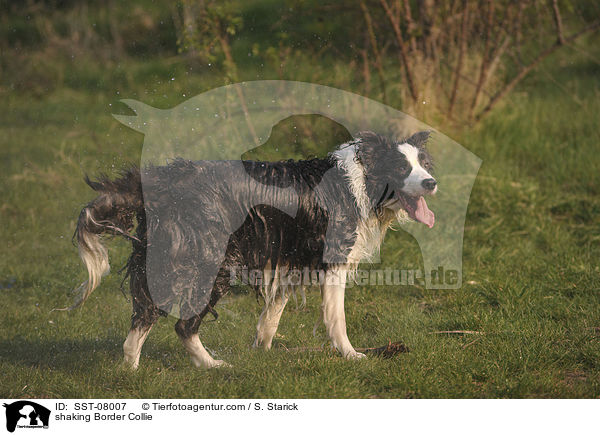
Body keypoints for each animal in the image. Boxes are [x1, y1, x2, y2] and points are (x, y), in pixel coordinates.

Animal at [71, 131, 436, 370]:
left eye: (425, 165)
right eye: (402, 168)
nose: (432, 183)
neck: (359, 180)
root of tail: (162, 182)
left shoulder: (289, 258)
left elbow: (272, 315)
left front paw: (261, 350)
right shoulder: (333, 260)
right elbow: (337, 319)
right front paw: (351, 355)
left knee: (144, 313)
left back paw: (131, 370)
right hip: (211, 261)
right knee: (183, 324)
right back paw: (211, 365)